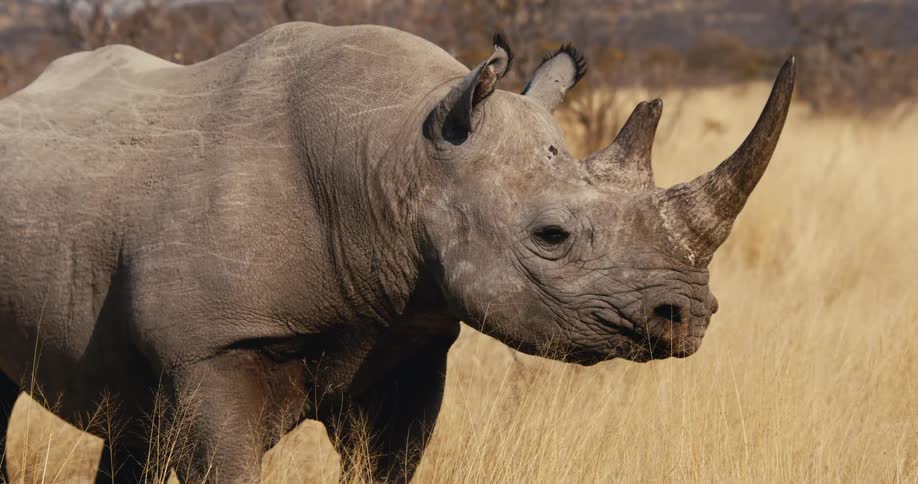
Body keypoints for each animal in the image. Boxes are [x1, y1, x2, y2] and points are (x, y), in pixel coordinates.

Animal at [0, 22, 795, 483]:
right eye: (551, 237)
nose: (687, 316)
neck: (399, 156)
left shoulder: (410, 340)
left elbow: (387, 462)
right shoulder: (214, 347)